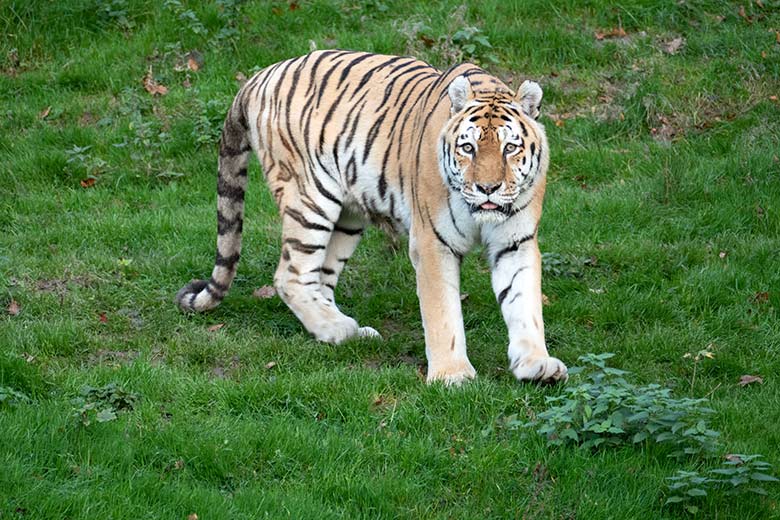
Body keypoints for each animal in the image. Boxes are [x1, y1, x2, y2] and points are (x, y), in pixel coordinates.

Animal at [175, 50, 568, 386]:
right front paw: (452, 375)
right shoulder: (432, 242)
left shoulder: (516, 242)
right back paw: (337, 329)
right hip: (310, 199)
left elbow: (525, 304)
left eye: (510, 147)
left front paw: (536, 364)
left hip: (347, 216)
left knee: (320, 277)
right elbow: (442, 311)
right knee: (290, 276)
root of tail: (260, 76)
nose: (488, 189)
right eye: (467, 148)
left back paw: (344, 331)